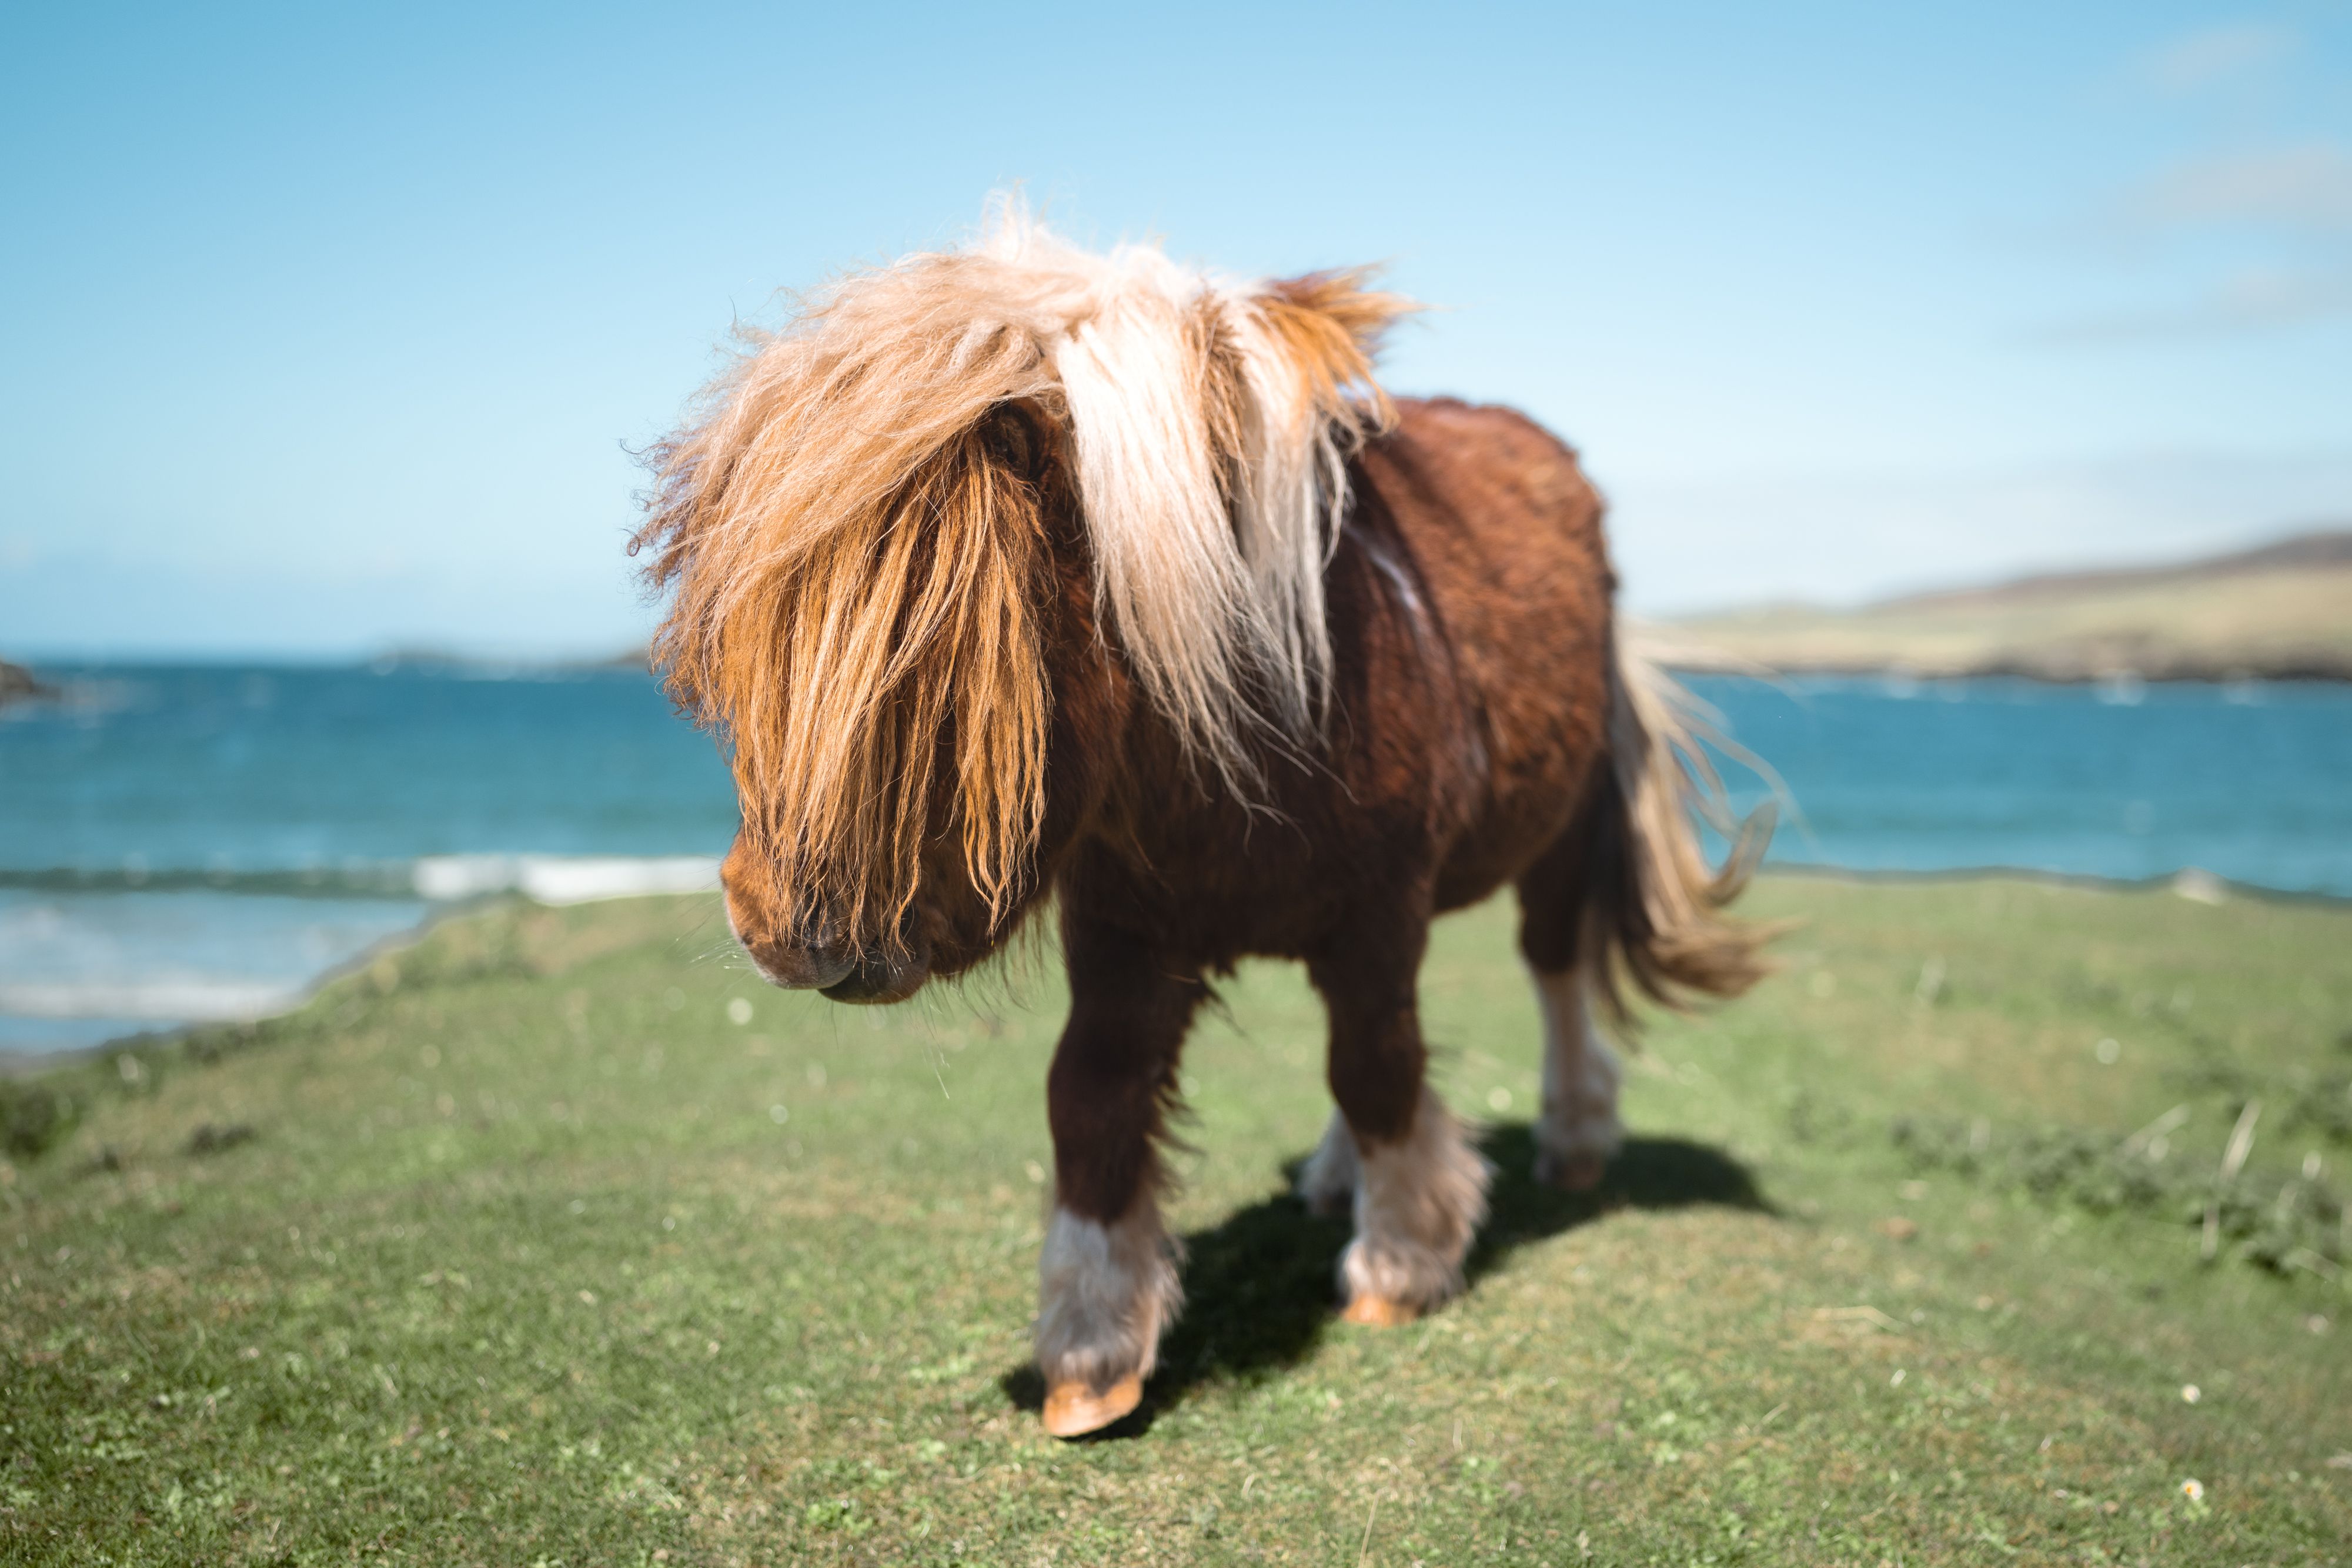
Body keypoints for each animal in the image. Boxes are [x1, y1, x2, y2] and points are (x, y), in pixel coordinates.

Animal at [633, 208, 1770, 1438]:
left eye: (938, 662)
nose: (776, 927)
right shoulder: (1129, 933)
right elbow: (1092, 1096)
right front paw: (1091, 1348)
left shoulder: (1380, 915)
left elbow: (1377, 1065)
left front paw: (1400, 1264)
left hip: (1553, 840)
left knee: (1549, 974)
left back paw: (1571, 1140)